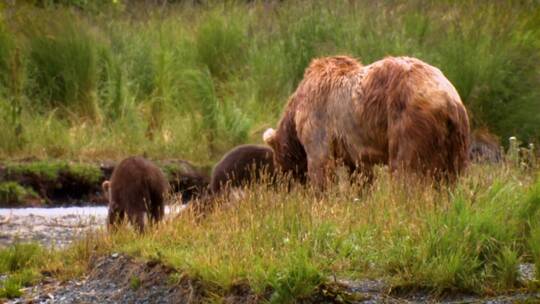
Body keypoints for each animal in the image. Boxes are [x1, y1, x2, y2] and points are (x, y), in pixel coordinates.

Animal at [264, 55, 470, 186]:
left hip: (409, 123)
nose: (285, 185)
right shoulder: (353, 147)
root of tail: (449, 100)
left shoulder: (317, 115)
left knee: (405, 170)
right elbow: (361, 173)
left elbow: (320, 163)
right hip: (454, 141)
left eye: (278, 163)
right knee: (449, 177)